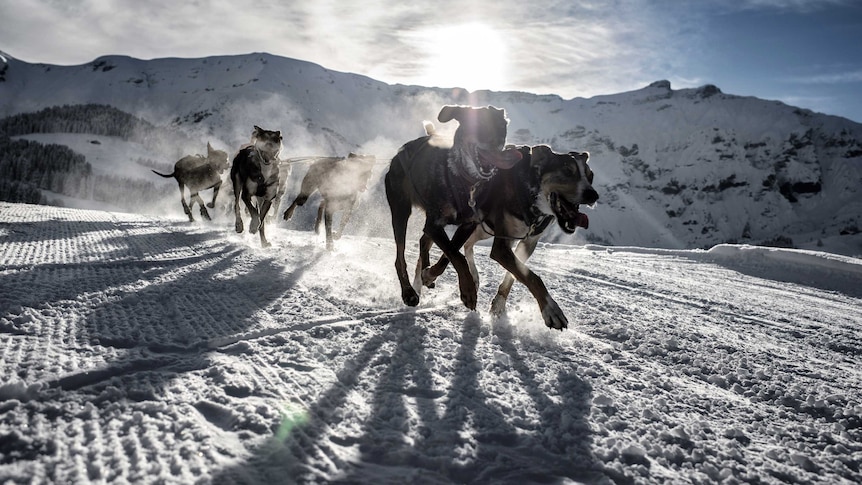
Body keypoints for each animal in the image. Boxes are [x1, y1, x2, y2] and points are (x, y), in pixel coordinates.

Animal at [386, 104, 524, 308]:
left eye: (501, 128)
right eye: (479, 125)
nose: (496, 145)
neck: (465, 180)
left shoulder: (468, 224)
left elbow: (450, 254)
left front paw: (429, 275)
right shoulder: (434, 224)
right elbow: (455, 255)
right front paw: (468, 291)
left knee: (423, 241)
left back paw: (425, 270)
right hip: (400, 210)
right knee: (400, 256)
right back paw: (409, 292)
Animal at [420, 145, 596, 328]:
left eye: (590, 176)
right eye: (567, 171)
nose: (593, 195)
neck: (531, 194)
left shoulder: (527, 244)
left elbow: (515, 275)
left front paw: (498, 304)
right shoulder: (501, 247)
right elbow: (533, 277)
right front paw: (551, 309)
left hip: (482, 229)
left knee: (466, 245)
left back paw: (472, 276)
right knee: (436, 243)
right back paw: (428, 275)